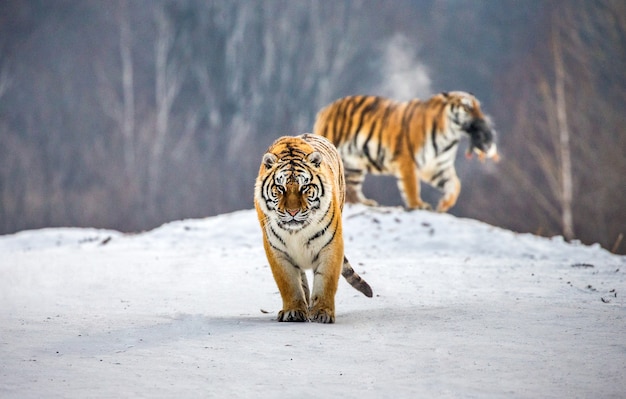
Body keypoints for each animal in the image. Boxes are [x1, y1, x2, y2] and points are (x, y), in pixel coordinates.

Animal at [254, 133, 370, 324]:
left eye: (305, 187)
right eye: (280, 187)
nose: (293, 212)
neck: (296, 232)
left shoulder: (331, 245)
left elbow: (325, 280)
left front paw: (323, 312)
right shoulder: (276, 250)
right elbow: (289, 283)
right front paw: (293, 311)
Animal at [312, 92, 498, 214]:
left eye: (479, 107)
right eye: (467, 107)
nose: (483, 121)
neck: (451, 136)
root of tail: (325, 109)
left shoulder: (438, 166)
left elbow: (455, 185)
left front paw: (443, 205)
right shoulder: (408, 160)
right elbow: (412, 186)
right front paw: (418, 204)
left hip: (354, 164)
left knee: (351, 188)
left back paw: (366, 202)